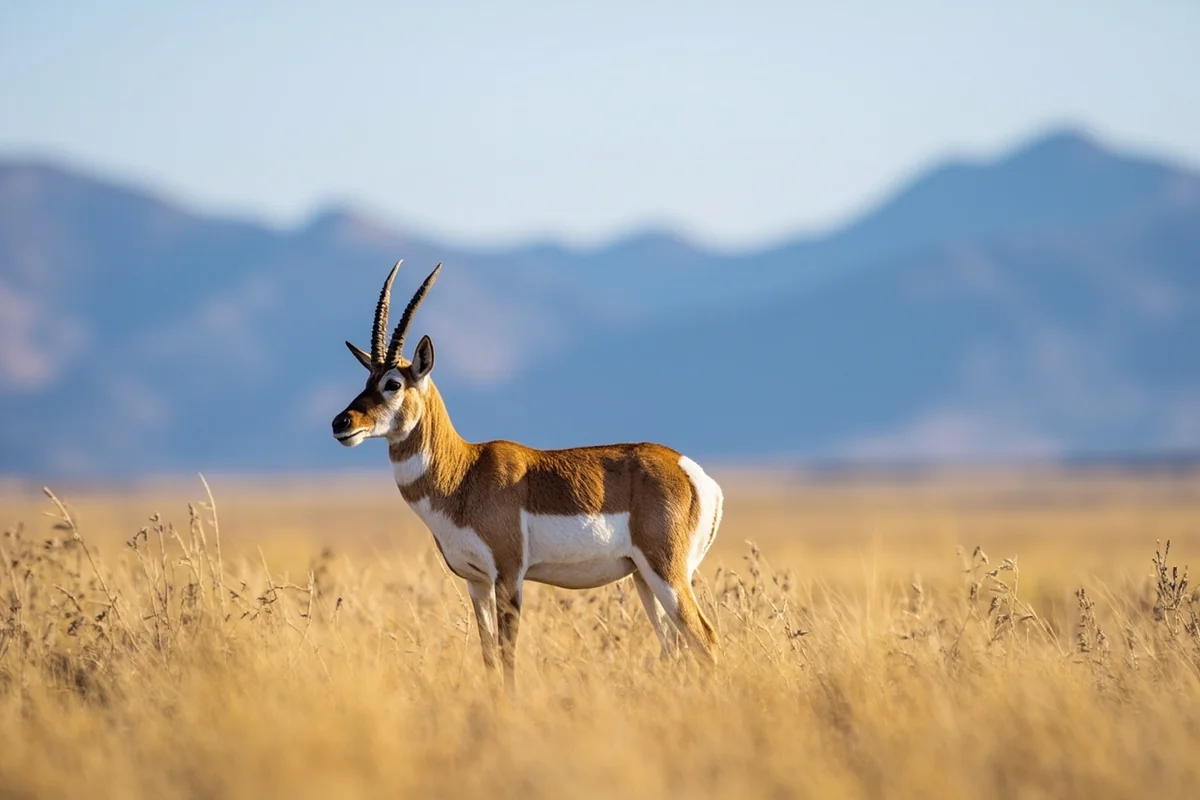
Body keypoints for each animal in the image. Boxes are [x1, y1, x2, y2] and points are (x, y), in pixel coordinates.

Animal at [332, 261, 723, 688]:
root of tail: (695, 474)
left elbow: (508, 657)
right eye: (367, 380)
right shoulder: (476, 582)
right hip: (643, 577)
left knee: (706, 640)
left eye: (393, 383)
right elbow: (488, 655)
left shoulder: (509, 576)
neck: (464, 474)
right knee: (675, 648)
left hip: (667, 574)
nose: (342, 423)